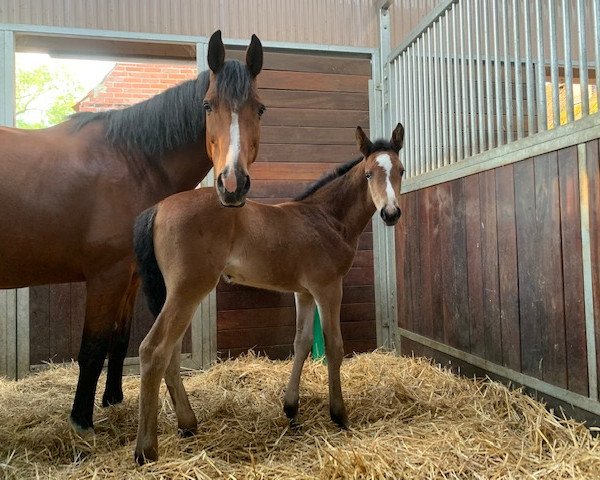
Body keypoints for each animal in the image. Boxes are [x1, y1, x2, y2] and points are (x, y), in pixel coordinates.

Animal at [134, 124, 406, 464]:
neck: (327, 218)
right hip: (188, 290)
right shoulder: (328, 287)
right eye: (369, 174)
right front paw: (340, 415)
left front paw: (291, 410)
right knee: (153, 349)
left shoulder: (304, 293)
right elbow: (334, 347)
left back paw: (187, 424)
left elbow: (302, 343)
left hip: (183, 293)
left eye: (401, 170)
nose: (390, 213)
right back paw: (146, 449)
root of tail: (158, 207)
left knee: (169, 352)